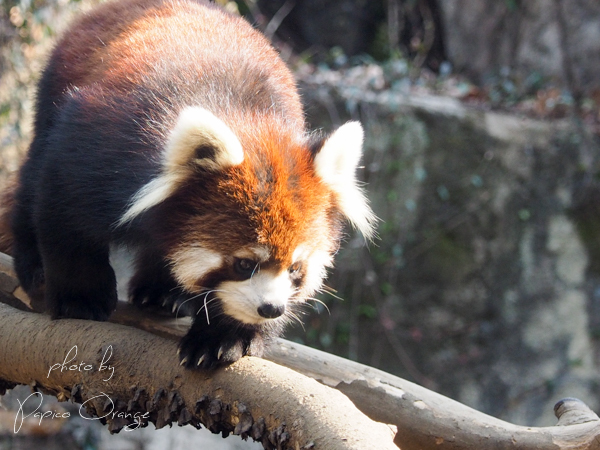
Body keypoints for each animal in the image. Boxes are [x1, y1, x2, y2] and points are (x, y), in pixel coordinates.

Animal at [9, 0, 376, 370]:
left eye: (296, 268)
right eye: (244, 263)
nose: (271, 308)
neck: (245, 115)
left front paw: (225, 337)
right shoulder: (103, 147)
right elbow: (65, 215)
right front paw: (80, 297)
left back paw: (163, 292)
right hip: (54, 90)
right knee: (32, 176)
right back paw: (35, 266)